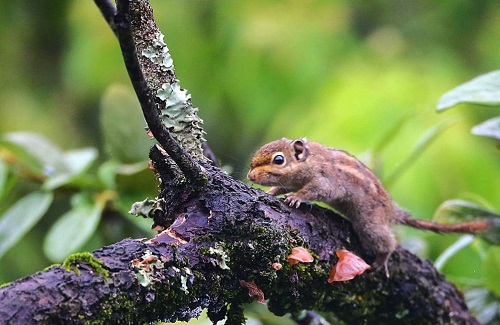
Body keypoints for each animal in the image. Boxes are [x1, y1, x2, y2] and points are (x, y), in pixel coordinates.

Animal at [247, 137, 492, 276]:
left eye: (279, 160)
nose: (250, 175)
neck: (308, 160)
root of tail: (391, 211)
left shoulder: (326, 181)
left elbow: (315, 191)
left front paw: (296, 198)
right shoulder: (290, 181)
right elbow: (280, 188)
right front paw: (270, 193)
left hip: (369, 225)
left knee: (388, 241)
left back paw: (383, 259)